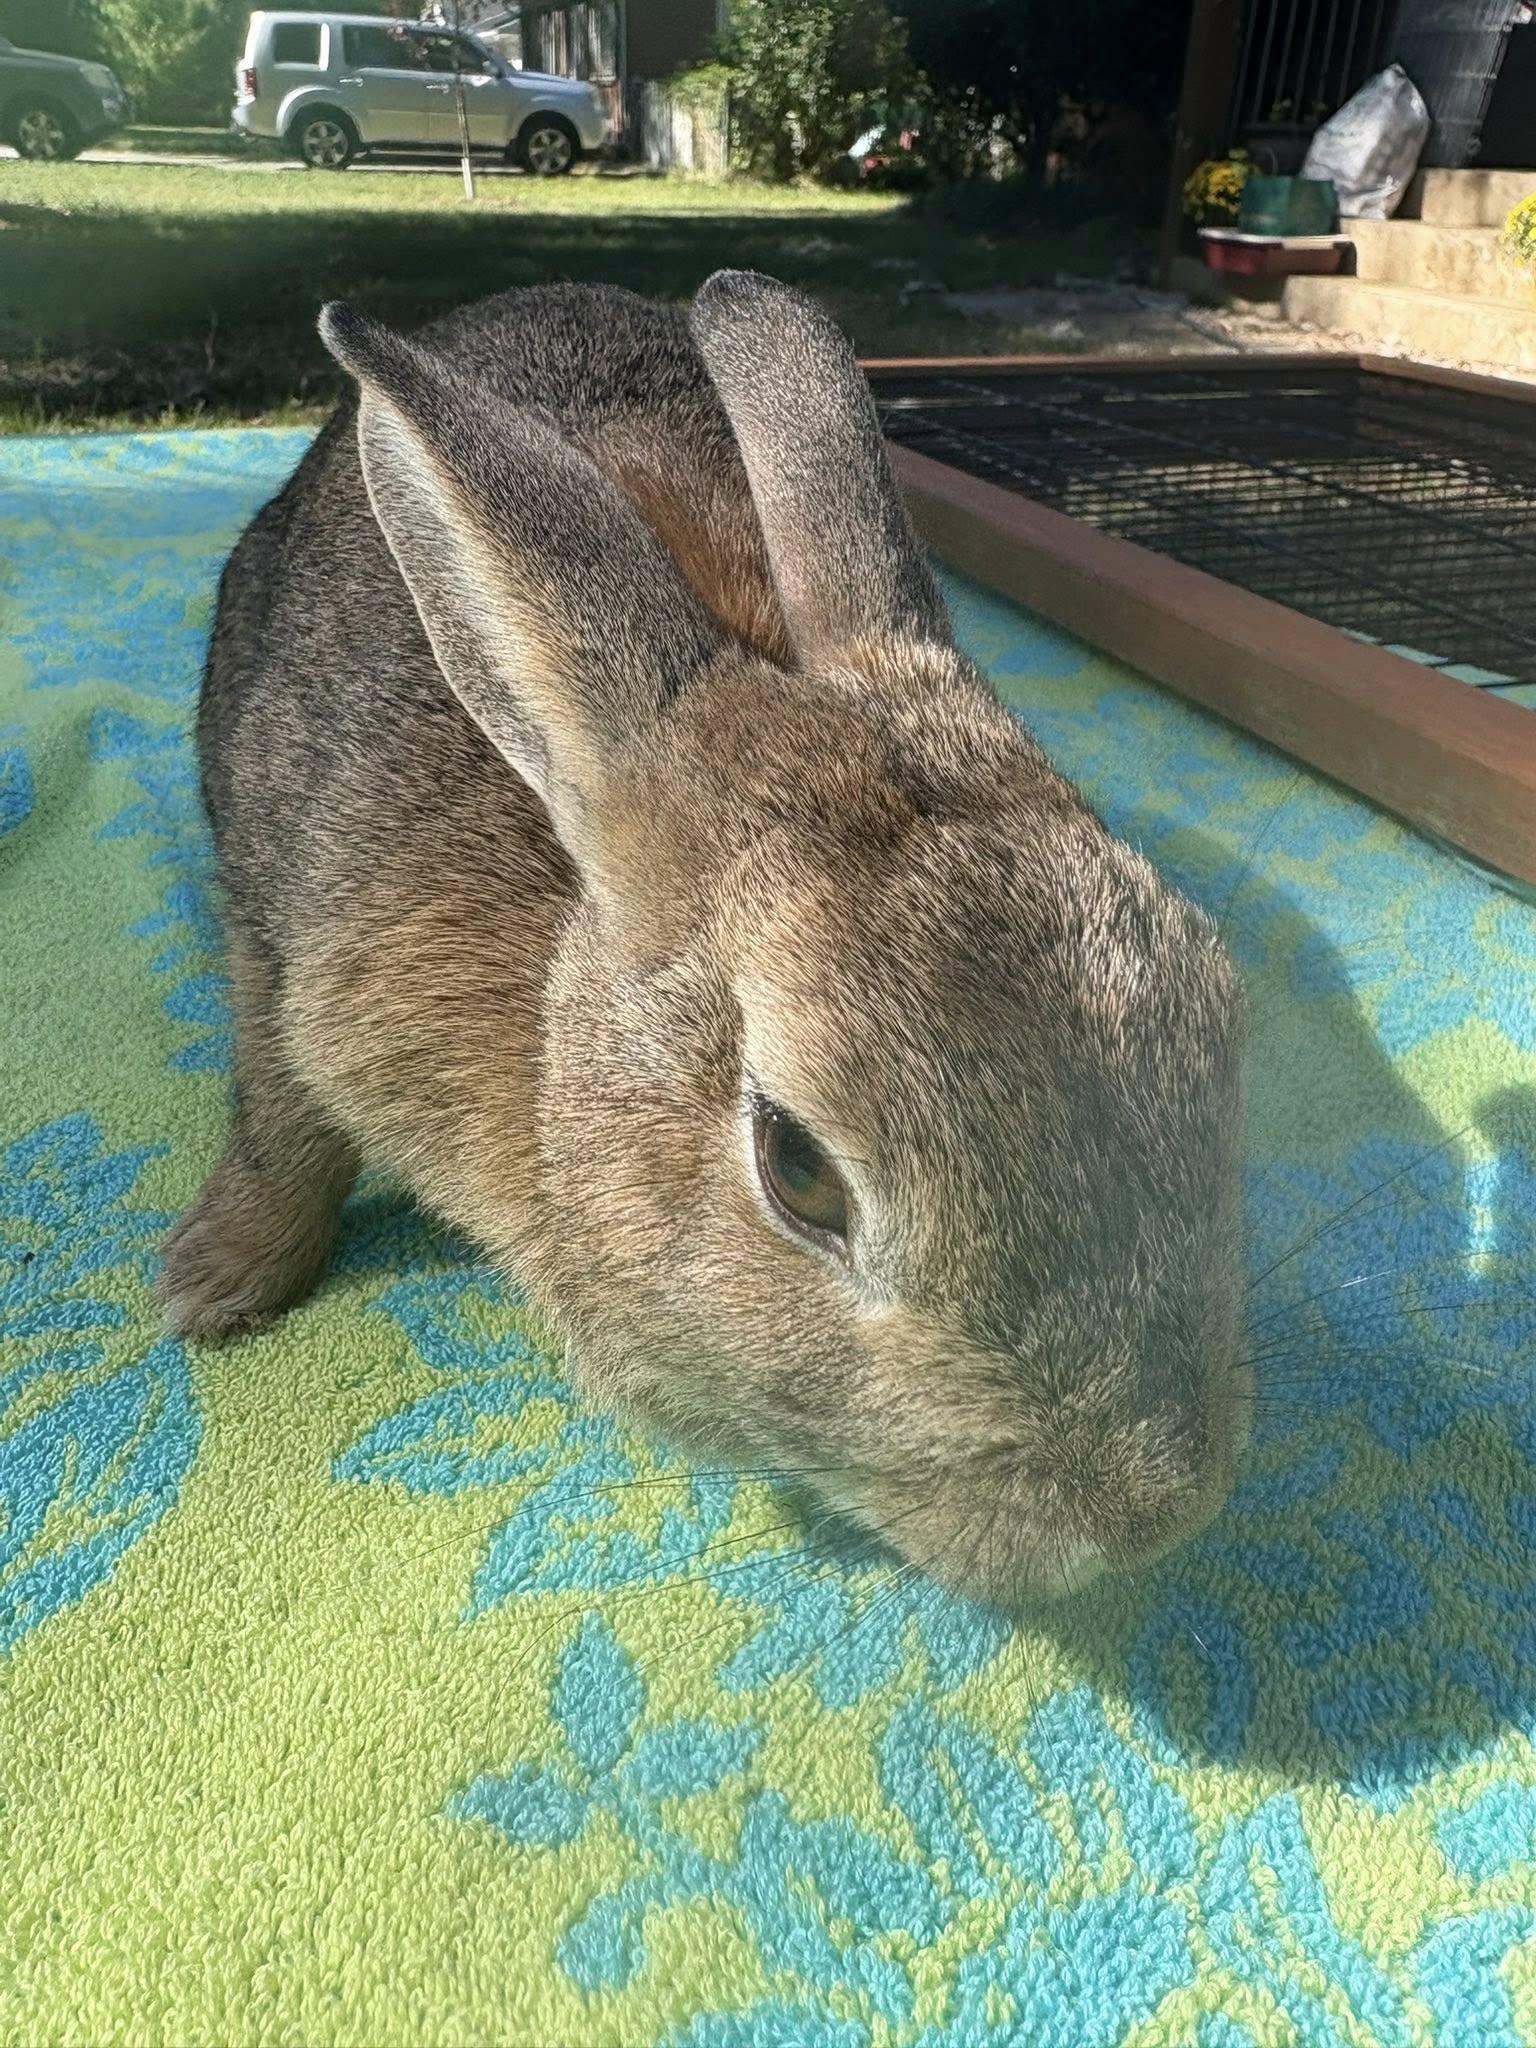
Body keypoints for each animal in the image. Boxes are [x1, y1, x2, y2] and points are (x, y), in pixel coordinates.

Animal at [159, 271, 1248, 1608]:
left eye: (1218, 1015)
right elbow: (281, 1119)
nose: (1149, 1513)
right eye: (796, 1166)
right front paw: (211, 1285)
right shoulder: (276, 936)